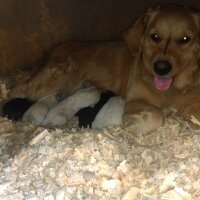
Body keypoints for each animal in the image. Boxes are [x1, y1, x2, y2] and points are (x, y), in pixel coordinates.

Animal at [9, 5, 200, 136]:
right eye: (154, 37)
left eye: (185, 39)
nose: (161, 68)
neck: (173, 88)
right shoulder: (135, 101)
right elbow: (157, 115)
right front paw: (133, 126)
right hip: (53, 79)